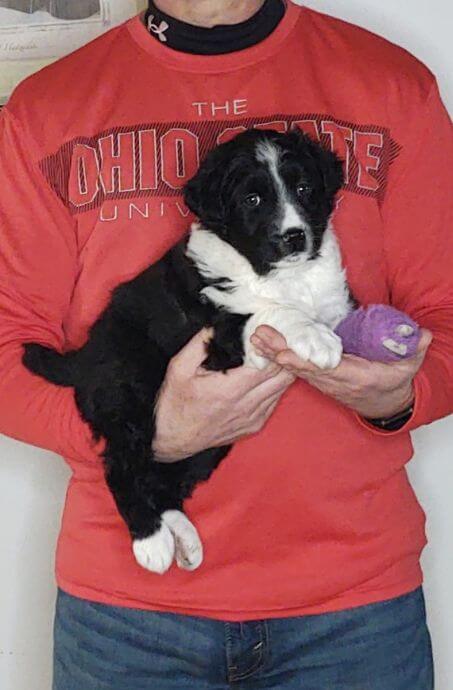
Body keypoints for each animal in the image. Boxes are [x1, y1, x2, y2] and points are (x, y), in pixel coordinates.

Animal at [22, 127, 354, 568]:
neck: (278, 275)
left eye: (304, 189)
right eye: (252, 200)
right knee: (123, 464)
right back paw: (151, 542)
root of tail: (84, 356)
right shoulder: (224, 335)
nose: (294, 237)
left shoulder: (329, 298)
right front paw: (314, 336)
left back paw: (182, 535)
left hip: (210, 440)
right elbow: (270, 313)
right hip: (131, 395)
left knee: (165, 480)